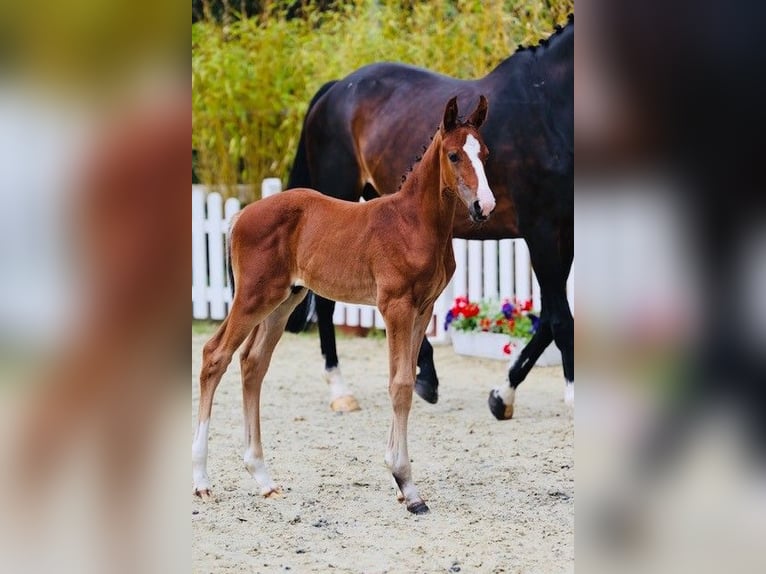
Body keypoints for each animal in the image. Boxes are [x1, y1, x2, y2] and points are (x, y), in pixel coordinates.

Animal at [192, 96, 494, 514]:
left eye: (485, 154)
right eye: (453, 155)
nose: (485, 206)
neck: (413, 223)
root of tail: (238, 217)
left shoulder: (423, 310)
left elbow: (402, 379)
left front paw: (398, 482)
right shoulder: (396, 307)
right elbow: (400, 384)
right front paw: (407, 486)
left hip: (284, 299)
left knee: (253, 364)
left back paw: (263, 478)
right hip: (254, 296)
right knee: (214, 355)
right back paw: (202, 481)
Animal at [285, 15, 573, 420]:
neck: (549, 105)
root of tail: (334, 90)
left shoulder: (565, 232)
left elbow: (547, 318)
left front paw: (502, 396)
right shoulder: (542, 230)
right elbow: (561, 319)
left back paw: (425, 375)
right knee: (325, 300)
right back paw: (341, 390)